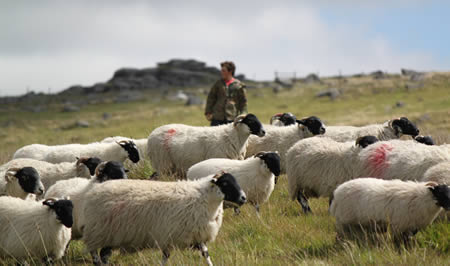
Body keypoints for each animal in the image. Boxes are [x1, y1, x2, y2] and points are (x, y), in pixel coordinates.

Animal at [78, 171, 246, 264]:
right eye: (225, 183)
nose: (243, 198)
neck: (203, 198)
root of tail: (92, 192)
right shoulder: (171, 234)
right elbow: (166, 256)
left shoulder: (196, 235)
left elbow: (205, 254)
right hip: (98, 232)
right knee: (96, 255)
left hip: (110, 234)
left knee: (104, 255)